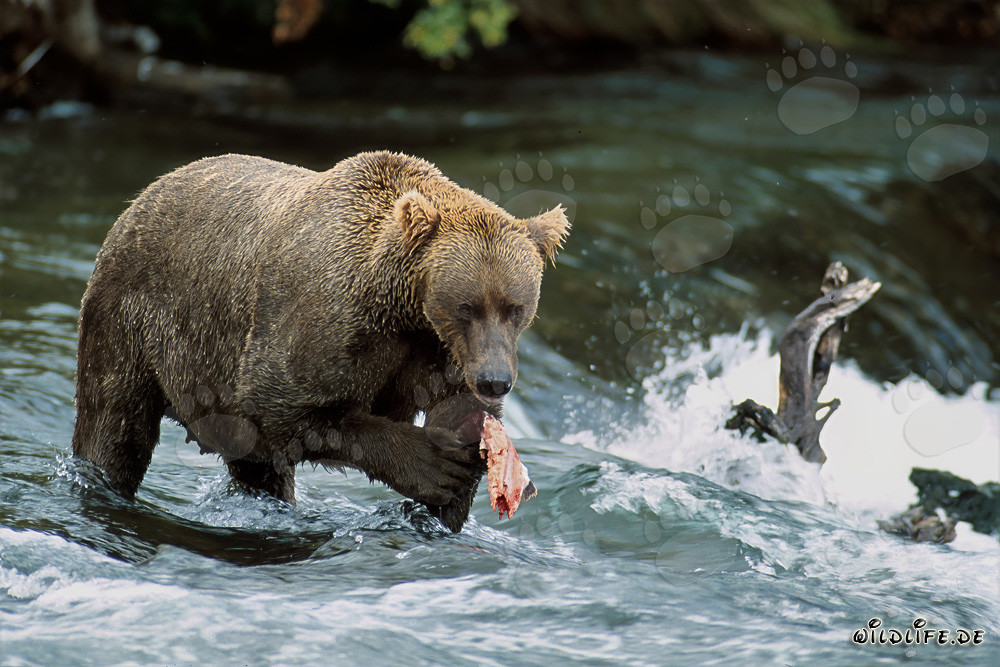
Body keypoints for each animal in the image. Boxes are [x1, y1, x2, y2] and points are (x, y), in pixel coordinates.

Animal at [71, 150, 570, 532]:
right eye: (467, 306)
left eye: (516, 308)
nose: (495, 380)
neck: (402, 308)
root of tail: (139, 199)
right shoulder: (320, 328)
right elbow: (287, 407)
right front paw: (435, 468)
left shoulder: (438, 351)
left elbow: (458, 407)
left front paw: (460, 480)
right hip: (134, 320)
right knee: (115, 426)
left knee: (256, 467)